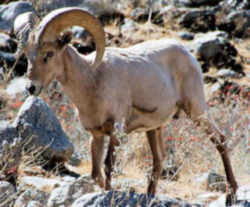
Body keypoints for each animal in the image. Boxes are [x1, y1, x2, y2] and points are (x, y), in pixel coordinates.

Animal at [25, 7, 238, 199]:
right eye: (29, 56)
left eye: (49, 54)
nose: (31, 88)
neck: (91, 81)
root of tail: (189, 56)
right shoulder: (96, 134)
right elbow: (95, 173)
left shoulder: (115, 130)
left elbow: (108, 166)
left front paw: (108, 193)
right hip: (154, 129)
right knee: (158, 161)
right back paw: (150, 196)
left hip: (196, 111)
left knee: (220, 140)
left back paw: (232, 193)